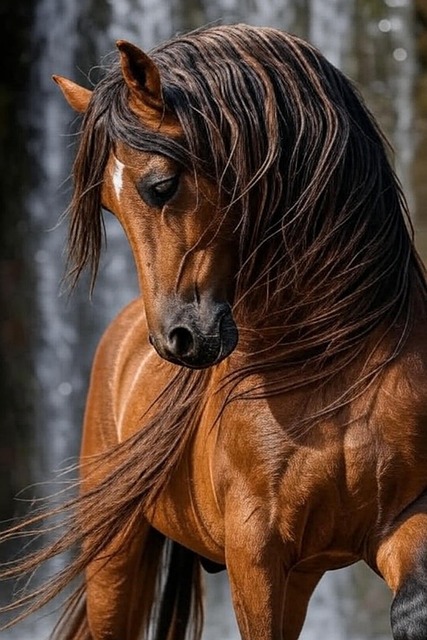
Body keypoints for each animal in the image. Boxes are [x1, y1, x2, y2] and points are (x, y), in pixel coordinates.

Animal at [1, 22, 427, 640]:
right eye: (106, 204)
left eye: (161, 185)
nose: (175, 340)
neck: (330, 367)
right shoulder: (256, 555)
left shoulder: (400, 521)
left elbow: (412, 606)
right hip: (115, 556)